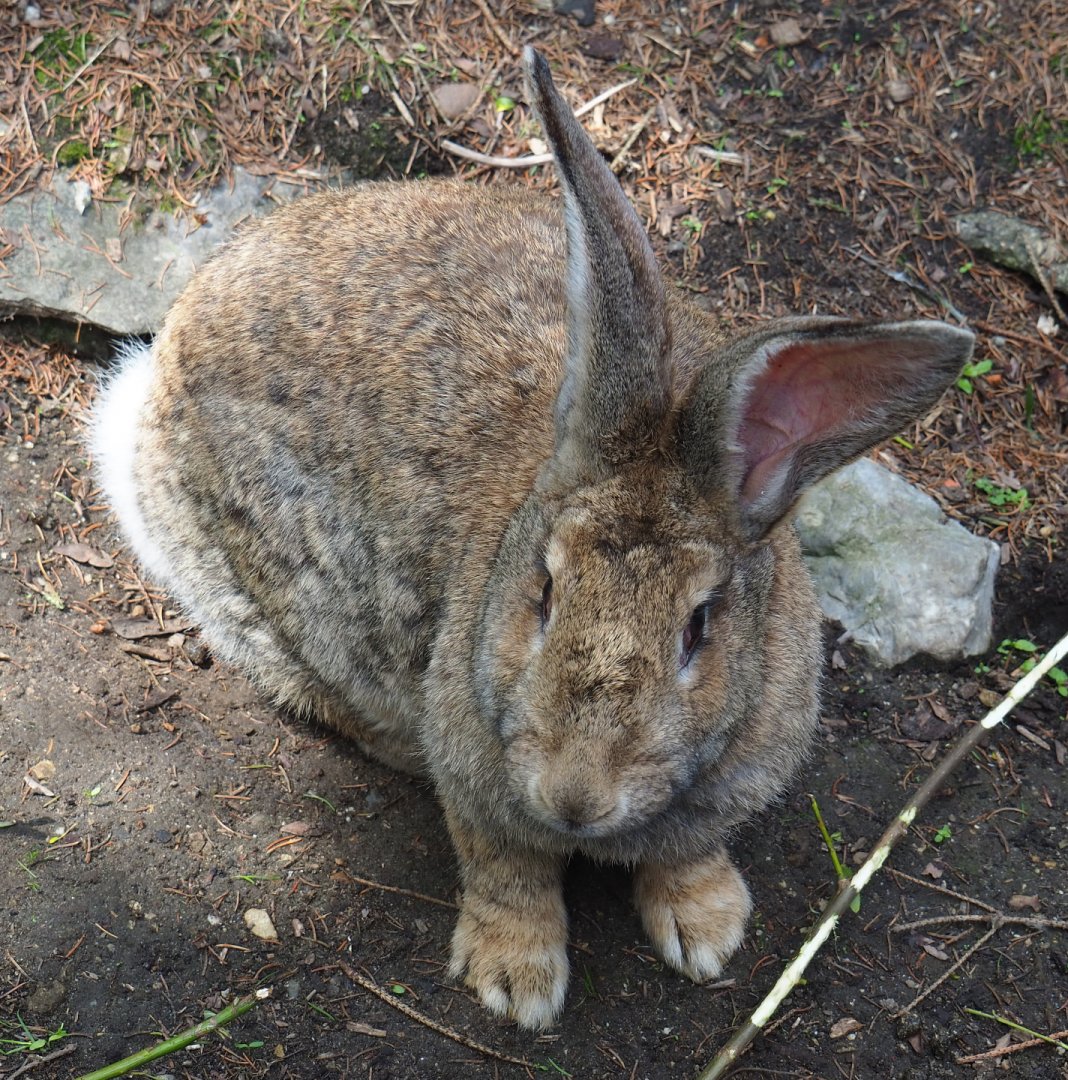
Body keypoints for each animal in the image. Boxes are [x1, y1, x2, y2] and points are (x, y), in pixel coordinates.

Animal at [91, 46, 973, 1030]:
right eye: (544, 593)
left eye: (699, 628)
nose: (576, 795)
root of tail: (164, 357)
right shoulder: (481, 773)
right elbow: (504, 867)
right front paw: (515, 981)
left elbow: (688, 855)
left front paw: (708, 929)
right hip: (248, 589)